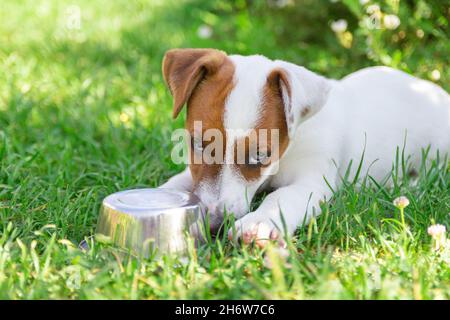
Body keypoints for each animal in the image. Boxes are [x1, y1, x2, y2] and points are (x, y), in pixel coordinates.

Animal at [161, 48, 450, 248]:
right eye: (197, 143)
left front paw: (259, 222)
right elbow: (178, 183)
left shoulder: (313, 182)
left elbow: (281, 196)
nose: (214, 225)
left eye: (260, 155)